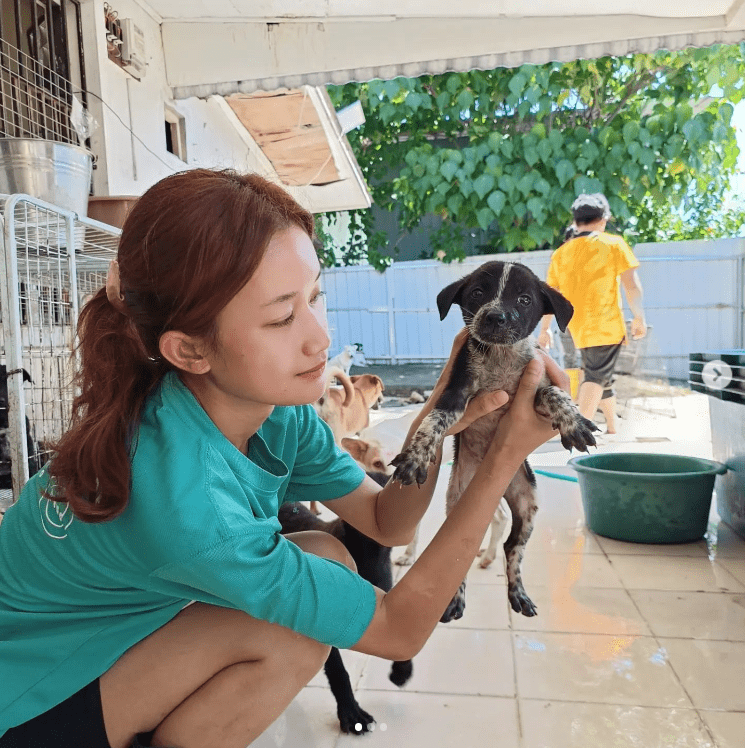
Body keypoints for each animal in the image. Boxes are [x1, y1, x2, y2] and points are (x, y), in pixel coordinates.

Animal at [386, 262, 596, 620]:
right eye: (477, 293)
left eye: (525, 299)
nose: (496, 317)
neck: (501, 356)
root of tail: (502, 488)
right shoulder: (454, 394)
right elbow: (432, 422)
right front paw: (415, 456)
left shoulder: (536, 390)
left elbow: (554, 393)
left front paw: (574, 422)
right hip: (457, 500)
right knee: (462, 554)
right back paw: (455, 599)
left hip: (528, 502)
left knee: (512, 548)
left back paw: (518, 594)